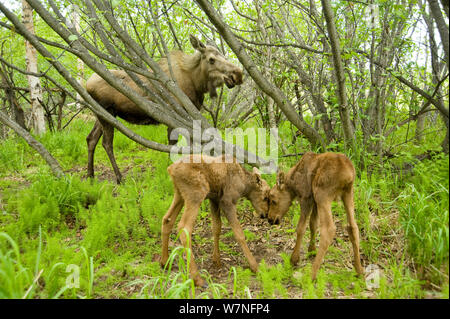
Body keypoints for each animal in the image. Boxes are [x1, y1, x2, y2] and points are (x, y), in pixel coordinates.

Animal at [86, 35, 244, 184]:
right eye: (211, 59)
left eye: (223, 56)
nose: (237, 74)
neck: (196, 83)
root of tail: (86, 84)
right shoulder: (175, 115)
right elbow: (174, 144)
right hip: (106, 113)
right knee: (106, 143)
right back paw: (119, 178)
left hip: (101, 114)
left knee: (91, 139)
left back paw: (90, 175)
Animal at [160, 155, 268, 288]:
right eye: (265, 197)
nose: (265, 215)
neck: (244, 185)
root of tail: (171, 169)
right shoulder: (227, 201)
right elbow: (239, 234)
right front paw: (255, 267)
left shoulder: (214, 200)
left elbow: (216, 228)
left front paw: (216, 260)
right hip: (196, 193)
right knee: (184, 227)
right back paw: (198, 279)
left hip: (179, 194)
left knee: (167, 219)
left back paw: (164, 262)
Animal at [266, 152, 364, 280]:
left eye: (273, 200)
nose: (270, 219)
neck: (293, 184)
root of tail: (347, 173)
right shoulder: (314, 201)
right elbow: (313, 224)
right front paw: (311, 250)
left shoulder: (306, 197)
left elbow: (301, 228)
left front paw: (294, 259)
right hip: (347, 193)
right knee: (353, 227)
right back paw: (359, 270)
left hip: (323, 193)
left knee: (329, 229)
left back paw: (312, 274)